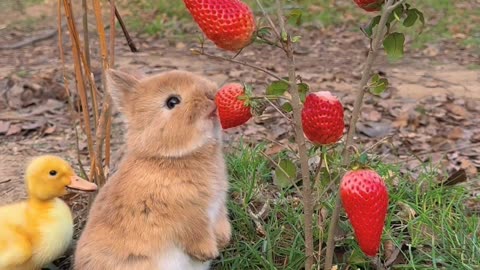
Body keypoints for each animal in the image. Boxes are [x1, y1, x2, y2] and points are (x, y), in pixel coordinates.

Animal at [74, 69, 232, 270]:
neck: (166, 157)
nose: (211, 95)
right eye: (172, 102)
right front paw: (208, 252)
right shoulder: (186, 216)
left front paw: (224, 240)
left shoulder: (218, 205)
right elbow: (195, 232)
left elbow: (220, 221)